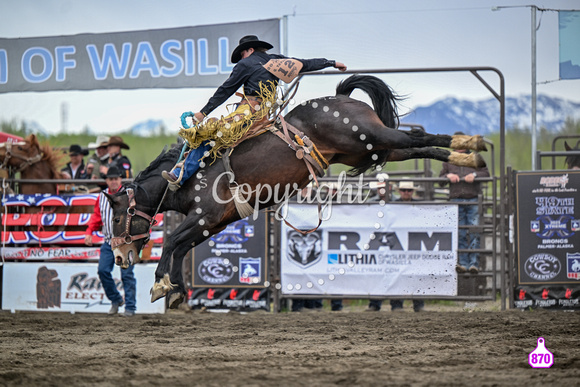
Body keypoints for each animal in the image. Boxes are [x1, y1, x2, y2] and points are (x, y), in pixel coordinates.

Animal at [106, 74, 488, 308]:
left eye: (119, 215)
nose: (120, 257)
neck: (185, 175)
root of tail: (340, 98)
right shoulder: (213, 224)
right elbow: (182, 249)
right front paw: (177, 291)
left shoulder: (204, 217)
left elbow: (172, 242)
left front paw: (160, 285)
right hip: (371, 150)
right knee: (416, 145)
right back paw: (469, 153)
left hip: (373, 138)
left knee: (417, 138)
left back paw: (470, 146)